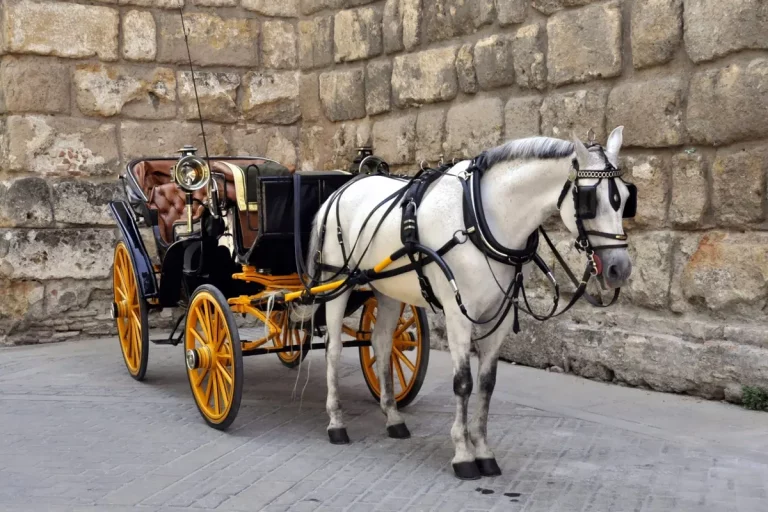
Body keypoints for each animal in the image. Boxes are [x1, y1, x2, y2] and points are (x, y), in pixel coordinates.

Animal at [303, 126, 634, 480]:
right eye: (589, 201)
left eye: (627, 199)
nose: (620, 269)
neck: (480, 217)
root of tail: (342, 189)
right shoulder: (458, 315)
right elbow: (463, 383)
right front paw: (463, 453)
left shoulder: (499, 317)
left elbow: (486, 384)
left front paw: (483, 450)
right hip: (336, 281)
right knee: (334, 349)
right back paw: (336, 422)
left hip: (388, 288)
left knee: (380, 343)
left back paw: (393, 417)